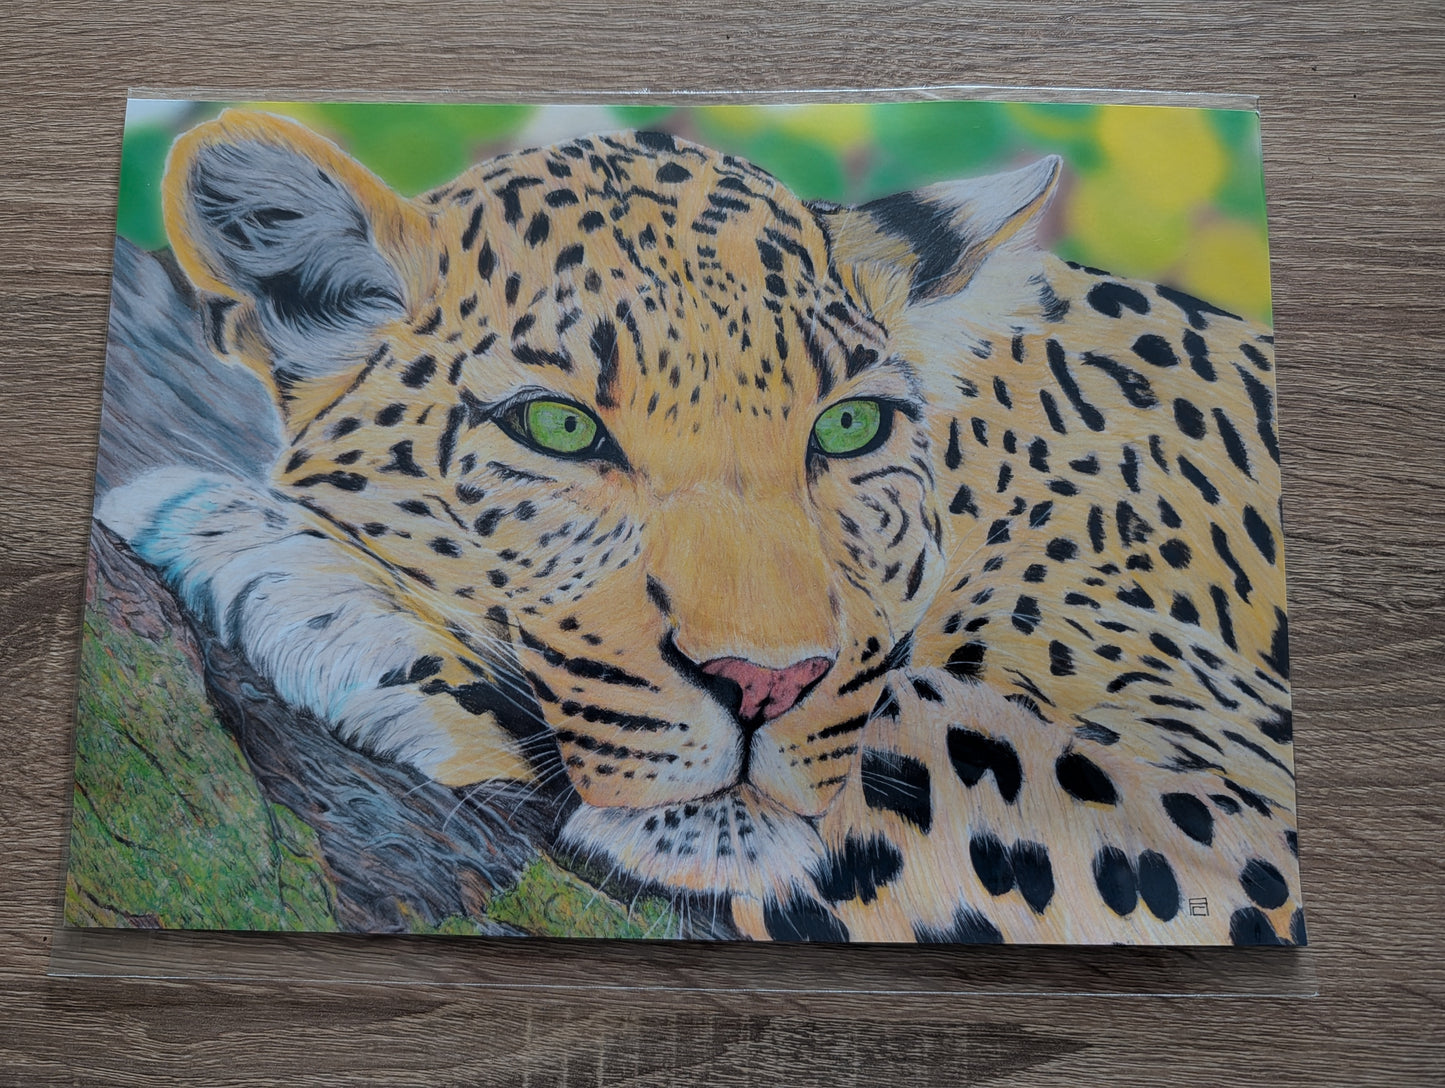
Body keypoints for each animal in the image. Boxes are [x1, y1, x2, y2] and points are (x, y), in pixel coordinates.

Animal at [98, 109, 1304, 944]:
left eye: (849, 425)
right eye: (558, 426)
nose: (760, 684)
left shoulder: (1246, 810)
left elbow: (911, 730)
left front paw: (296, 568)